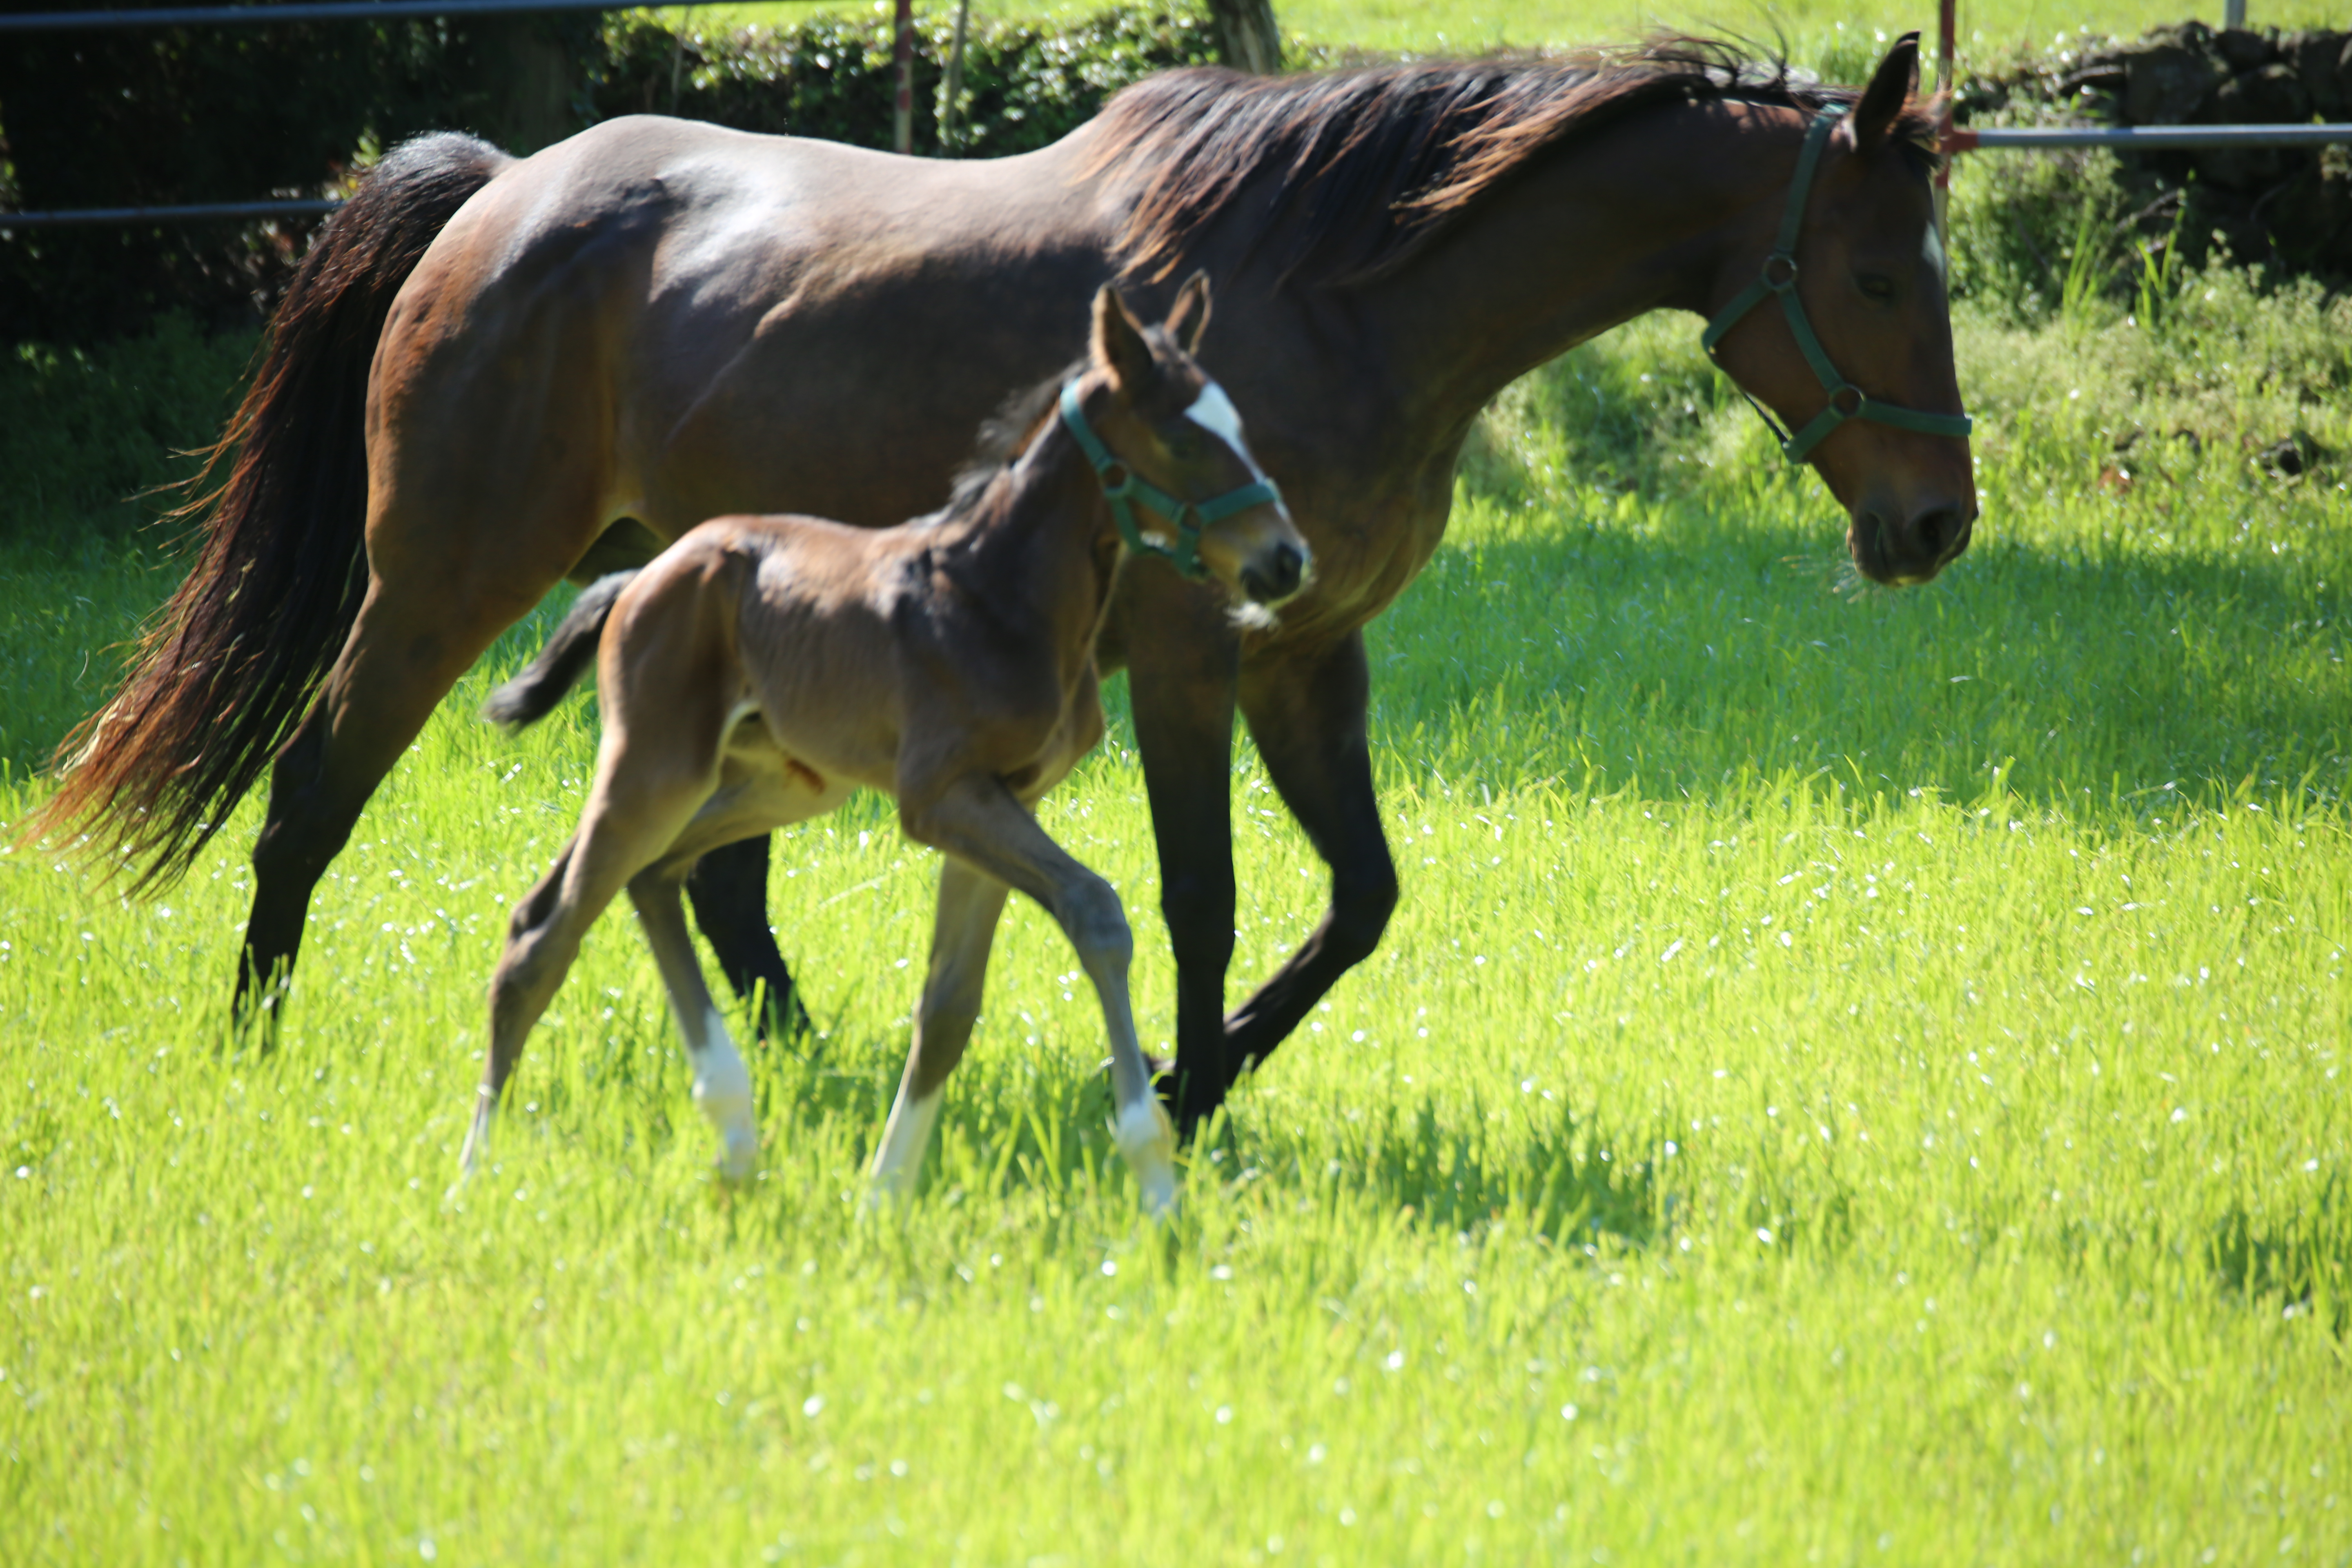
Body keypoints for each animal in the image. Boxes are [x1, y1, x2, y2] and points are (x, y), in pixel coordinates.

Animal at [454, 282, 1307, 1213]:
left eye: (1240, 425)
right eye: (1183, 439)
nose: (1286, 559)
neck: (1000, 598)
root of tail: (641, 575)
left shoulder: (1006, 797)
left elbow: (948, 1006)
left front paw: (884, 1195)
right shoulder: (941, 797)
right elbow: (1096, 913)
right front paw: (1153, 1174)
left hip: (784, 782)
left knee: (650, 877)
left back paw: (734, 1130)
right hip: (655, 765)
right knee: (545, 932)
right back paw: (476, 1167)